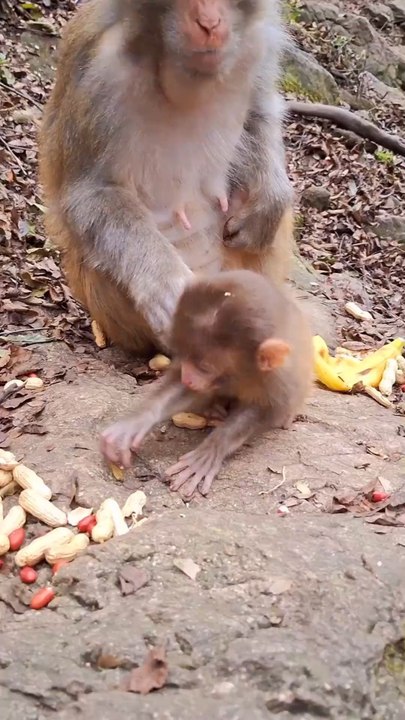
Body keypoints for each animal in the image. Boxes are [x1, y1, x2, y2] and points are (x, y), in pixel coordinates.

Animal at [38, 0, 295, 355]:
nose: (209, 23)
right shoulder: (99, 76)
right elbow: (92, 192)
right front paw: (164, 280)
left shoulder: (261, 42)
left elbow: (261, 111)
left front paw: (270, 200)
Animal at [100, 269, 313, 499]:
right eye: (183, 352)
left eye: (205, 367)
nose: (188, 377)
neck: (243, 375)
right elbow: (183, 390)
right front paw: (136, 422)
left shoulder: (277, 380)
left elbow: (267, 410)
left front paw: (213, 448)